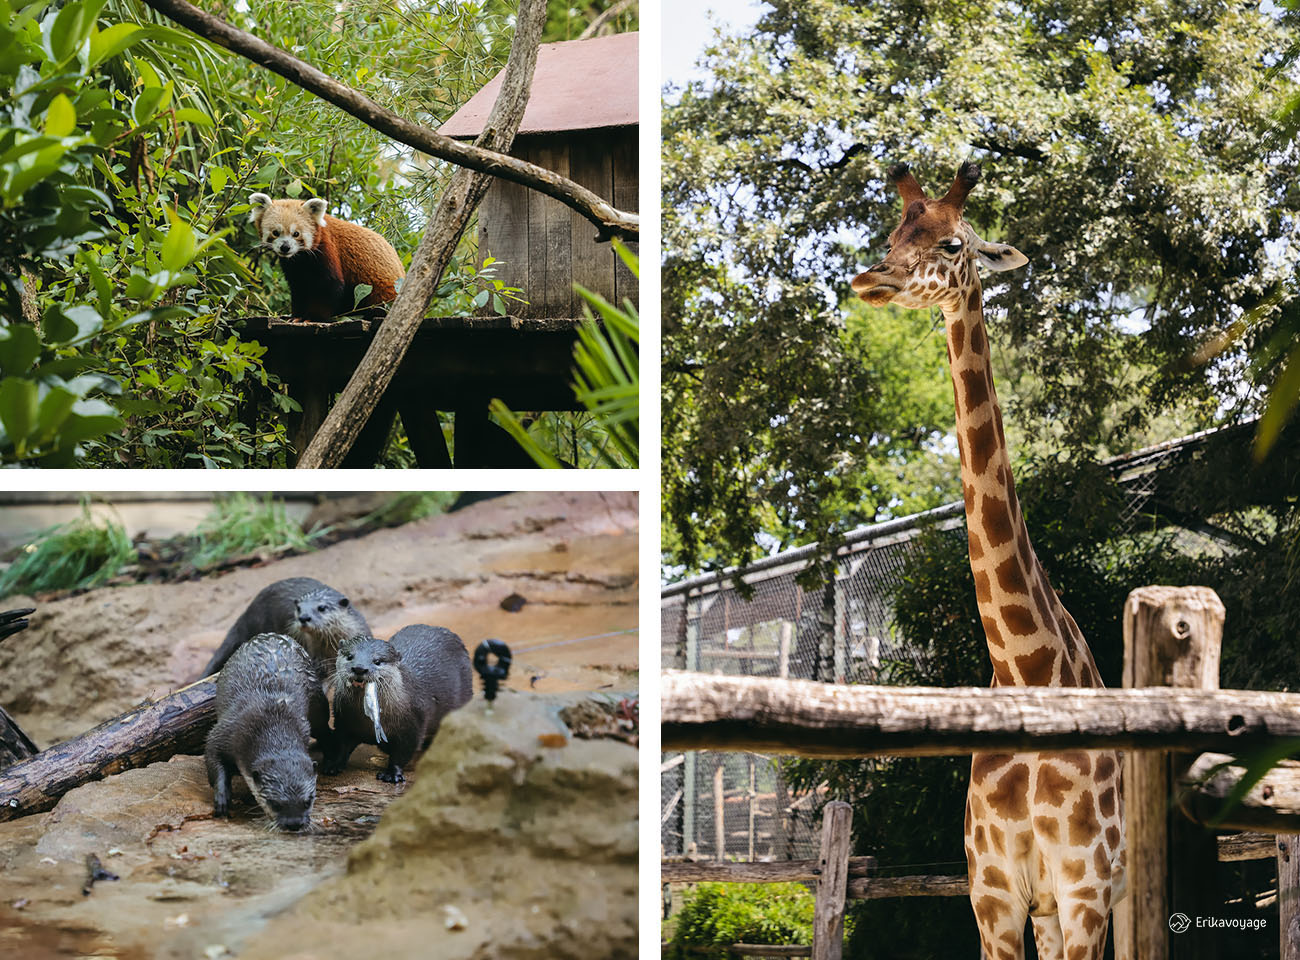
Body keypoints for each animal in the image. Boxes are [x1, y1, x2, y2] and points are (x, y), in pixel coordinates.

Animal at [204, 632, 327, 827]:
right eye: (275, 803)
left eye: (308, 800)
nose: (294, 824)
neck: (271, 720)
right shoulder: (226, 731)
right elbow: (212, 756)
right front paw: (222, 798)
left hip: (317, 699)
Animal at [245, 192, 403, 323]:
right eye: (276, 233)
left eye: (296, 234)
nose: (285, 247)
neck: (301, 258)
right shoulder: (294, 267)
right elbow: (299, 288)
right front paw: (297, 316)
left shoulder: (326, 250)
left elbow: (330, 286)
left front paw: (312, 317)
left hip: (383, 291)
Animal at [323, 629, 475, 780]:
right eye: (350, 656)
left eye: (377, 661)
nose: (359, 668)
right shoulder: (343, 721)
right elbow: (342, 744)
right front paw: (334, 764)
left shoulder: (412, 724)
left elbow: (403, 751)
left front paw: (391, 774)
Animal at [847, 160, 1123, 952]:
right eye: (892, 234)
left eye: (951, 243)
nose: (870, 278)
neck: (1025, 670)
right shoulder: (992, 894)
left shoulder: (1087, 890)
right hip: (1043, 910)